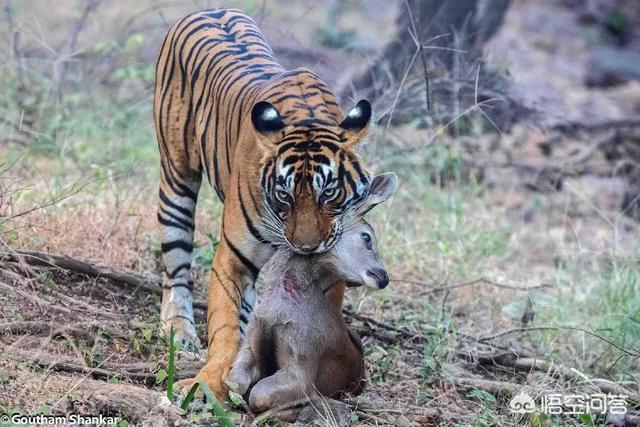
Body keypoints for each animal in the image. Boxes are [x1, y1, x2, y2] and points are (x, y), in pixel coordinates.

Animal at [153, 8, 392, 400]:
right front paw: (207, 385)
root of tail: (210, 9)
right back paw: (180, 329)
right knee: (175, 265)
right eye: (284, 195)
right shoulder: (232, 259)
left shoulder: (332, 274)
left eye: (329, 193)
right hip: (176, 177)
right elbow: (225, 329)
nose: (306, 247)